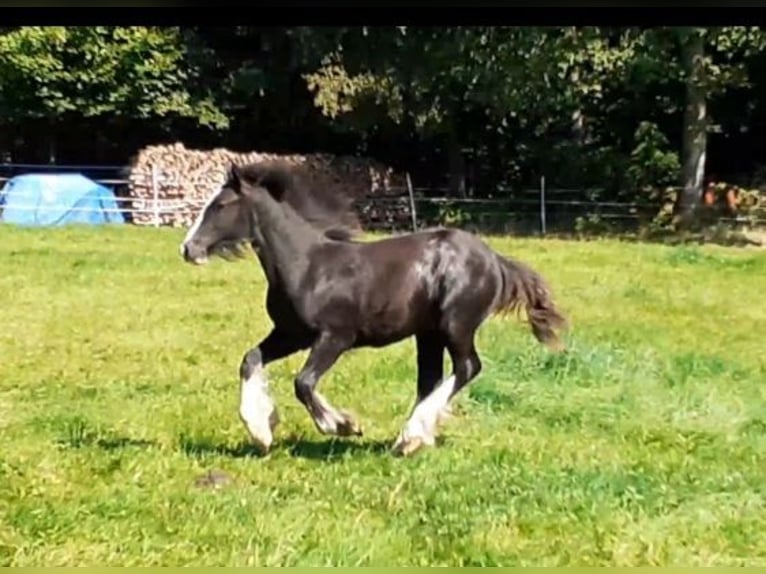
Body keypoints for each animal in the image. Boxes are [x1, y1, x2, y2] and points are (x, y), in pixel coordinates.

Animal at [177, 162, 568, 460]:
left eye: (221, 205)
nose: (187, 249)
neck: (308, 266)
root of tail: (495, 260)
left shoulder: (335, 336)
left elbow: (303, 383)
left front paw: (343, 425)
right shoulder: (290, 334)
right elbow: (251, 359)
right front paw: (262, 431)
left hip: (456, 325)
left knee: (467, 367)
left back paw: (412, 435)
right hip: (428, 333)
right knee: (432, 378)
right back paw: (409, 440)